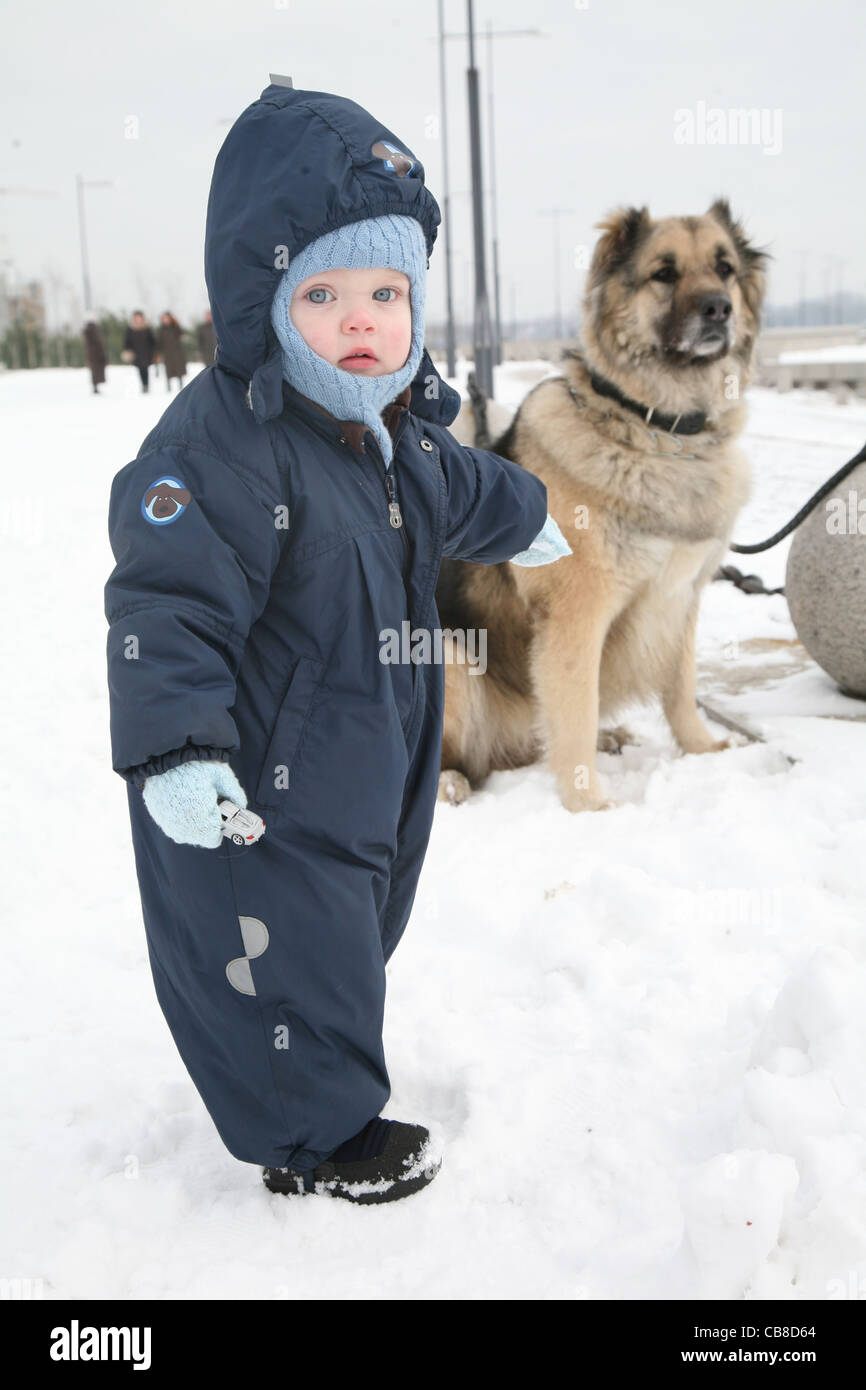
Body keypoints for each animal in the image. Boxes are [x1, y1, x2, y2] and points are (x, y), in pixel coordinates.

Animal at [436, 201, 767, 817]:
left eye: (725, 268)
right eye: (664, 273)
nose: (719, 308)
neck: (656, 428)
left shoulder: (681, 597)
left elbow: (681, 689)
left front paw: (702, 748)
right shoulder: (577, 612)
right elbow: (575, 709)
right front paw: (587, 806)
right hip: (444, 650)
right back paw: (448, 783)